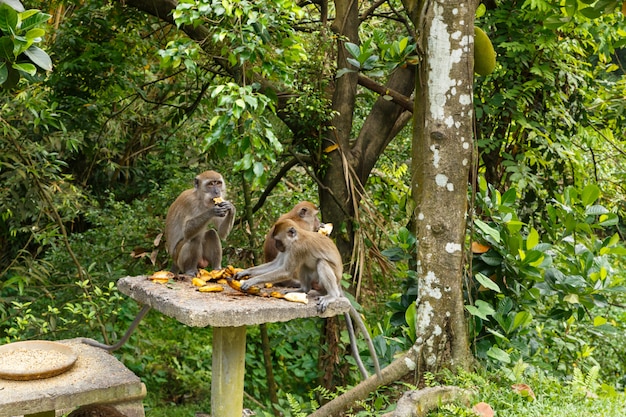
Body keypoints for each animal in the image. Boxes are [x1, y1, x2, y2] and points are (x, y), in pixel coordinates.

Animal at [234, 218, 380, 380]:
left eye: (278, 240)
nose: (277, 246)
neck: (296, 238)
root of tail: (338, 283)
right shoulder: (289, 250)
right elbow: (276, 264)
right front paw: (245, 272)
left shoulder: (296, 249)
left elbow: (285, 271)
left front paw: (252, 281)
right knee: (305, 265)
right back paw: (303, 290)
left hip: (329, 279)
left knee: (321, 262)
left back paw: (331, 295)